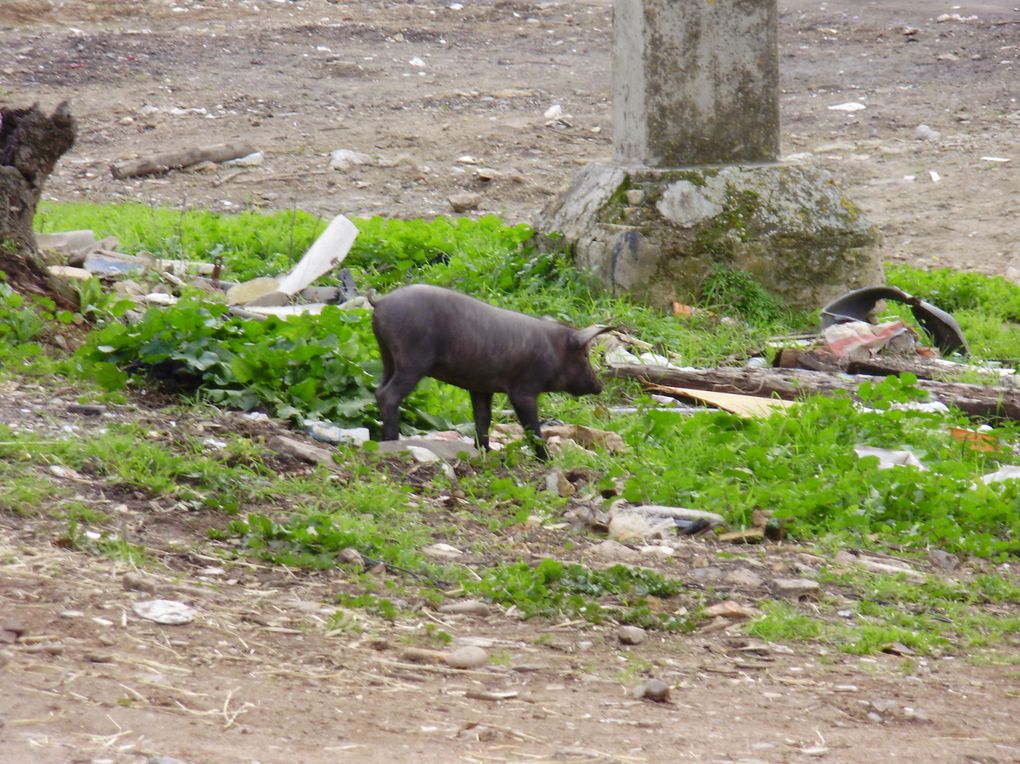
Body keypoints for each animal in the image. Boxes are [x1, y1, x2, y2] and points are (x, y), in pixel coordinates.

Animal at [377, 283, 607, 456]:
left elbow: (483, 417)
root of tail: (380, 302)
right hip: (412, 360)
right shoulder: (523, 389)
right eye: (585, 355)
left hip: (387, 357)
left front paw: (485, 452)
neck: (554, 350)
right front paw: (548, 460)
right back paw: (392, 441)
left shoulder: (481, 387)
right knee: (389, 395)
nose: (600, 385)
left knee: (379, 391)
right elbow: (531, 427)